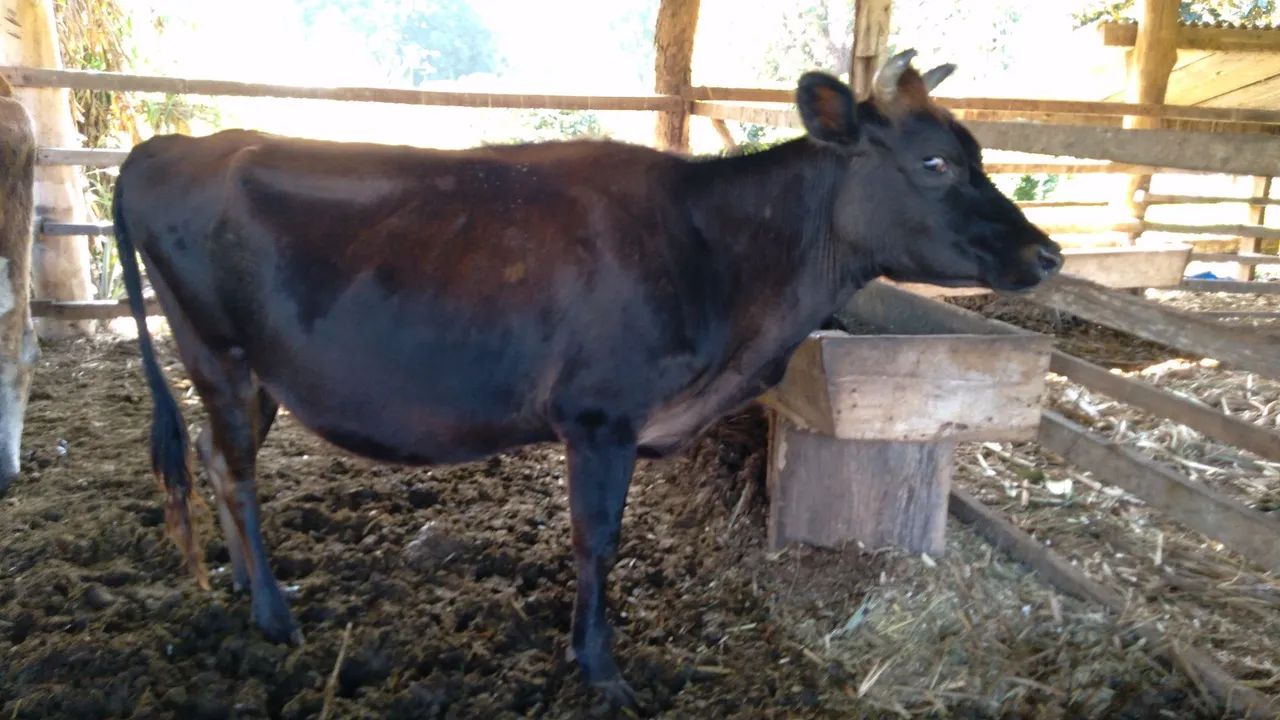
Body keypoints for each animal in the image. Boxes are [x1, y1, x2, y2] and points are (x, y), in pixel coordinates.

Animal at [112, 50, 1061, 707]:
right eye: (935, 162)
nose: (1047, 254)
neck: (720, 255)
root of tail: (174, 144)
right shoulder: (600, 418)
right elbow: (596, 540)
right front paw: (600, 665)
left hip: (250, 373)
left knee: (213, 458)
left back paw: (245, 583)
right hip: (217, 352)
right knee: (237, 470)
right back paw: (274, 616)